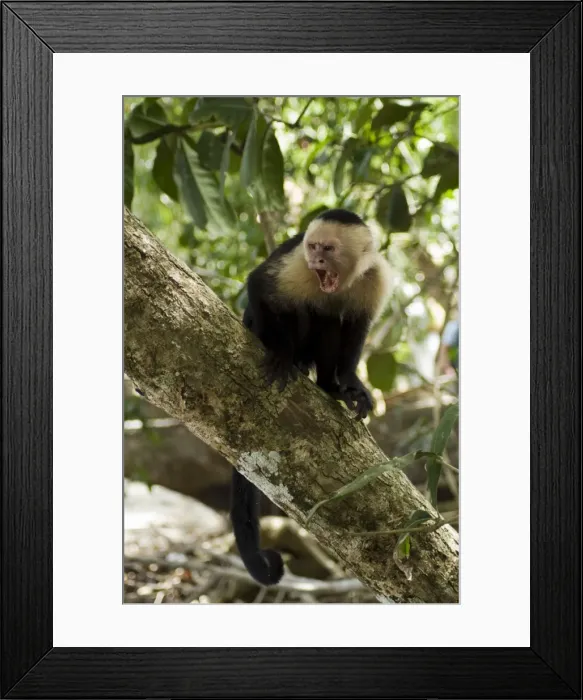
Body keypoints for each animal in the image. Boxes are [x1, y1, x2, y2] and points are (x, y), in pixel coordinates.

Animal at [231, 208, 392, 586]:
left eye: (328, 248)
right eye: (313, 247)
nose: (317, 260)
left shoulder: (375, 276)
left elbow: (358, 326)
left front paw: (349, 383)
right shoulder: (298, 266)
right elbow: (260, 286)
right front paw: (280, 355)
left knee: (332, 318)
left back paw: (330, 386)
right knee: (304, 310)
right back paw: (294, 360)